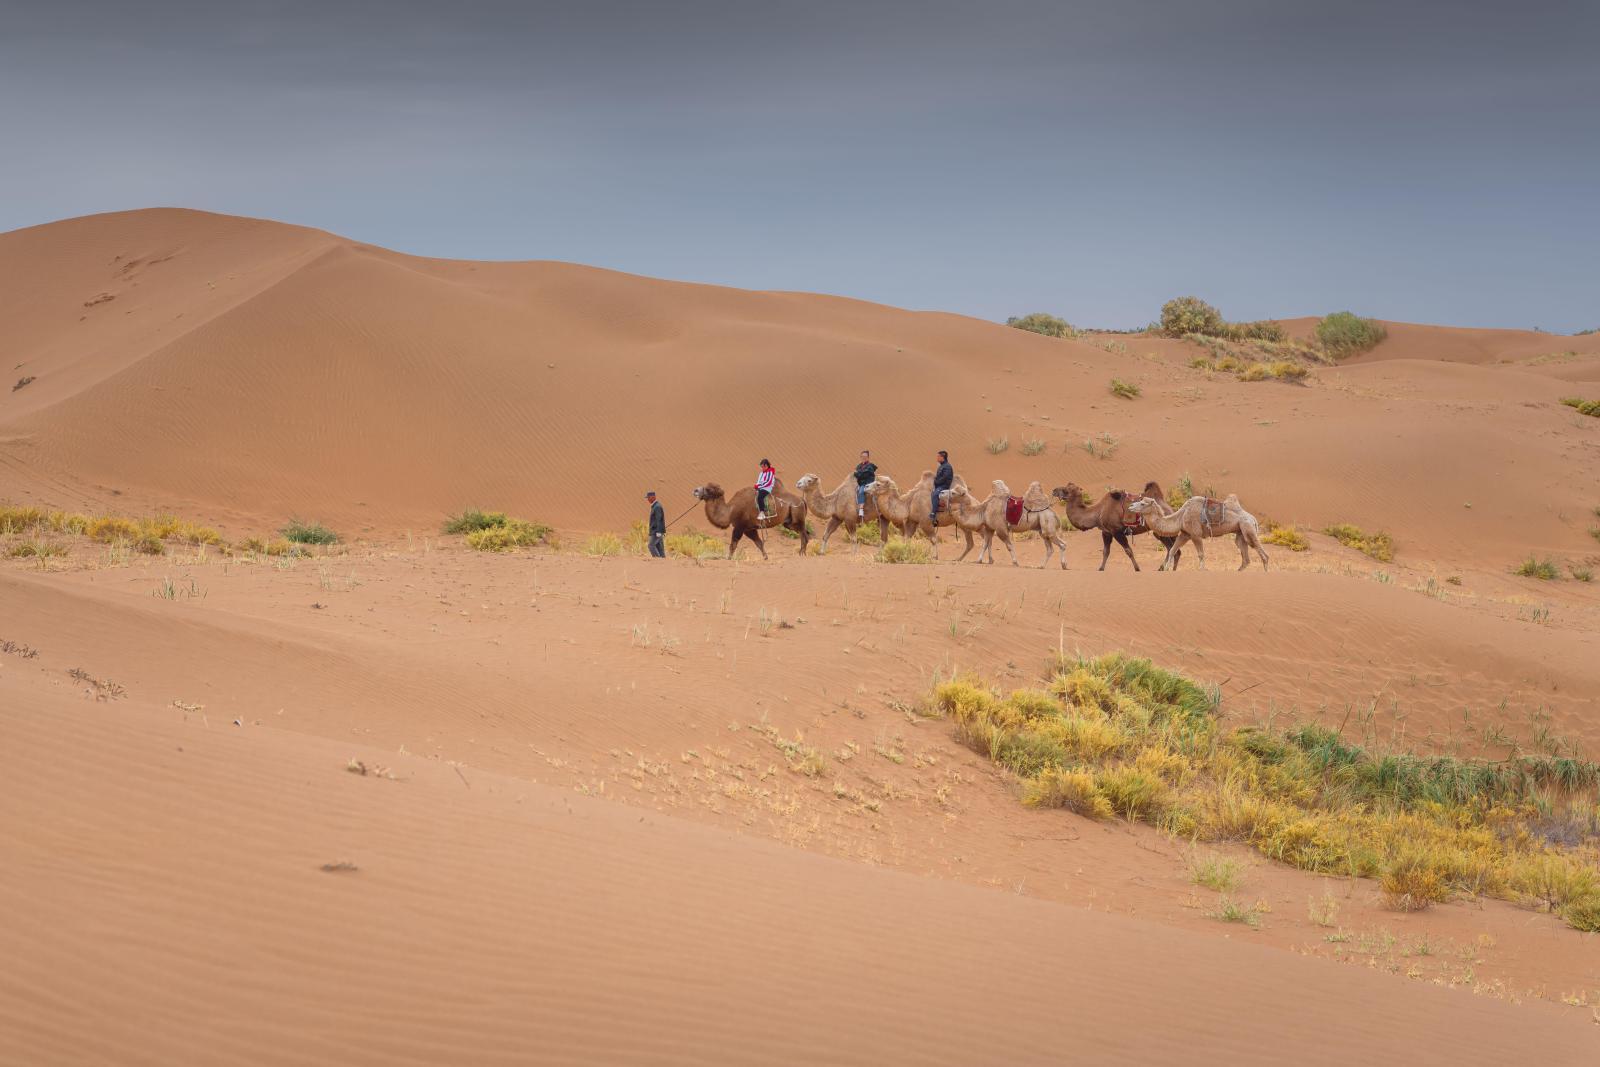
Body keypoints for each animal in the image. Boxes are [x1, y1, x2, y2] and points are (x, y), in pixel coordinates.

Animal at [1126, 495, 1273, 572]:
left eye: (1143, 503)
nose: (1130, 506)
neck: (1181, 515)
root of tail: (1253, 519)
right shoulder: (1185, 534)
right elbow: (1173, 550)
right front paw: (1167, 569)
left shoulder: (1195, 534)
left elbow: (1201, 554)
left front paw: (1202, 570)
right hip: (1240, 533)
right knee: (1245, 557)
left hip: (1248, 528)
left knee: (1262, 553)